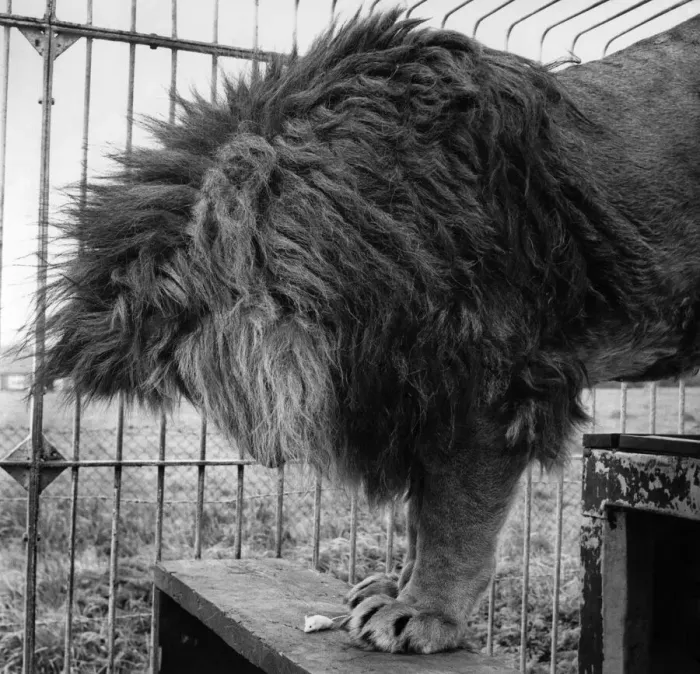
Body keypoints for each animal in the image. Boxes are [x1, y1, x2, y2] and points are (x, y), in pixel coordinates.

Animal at [38, 9, 700, 654]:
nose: (263, 452)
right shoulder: (419, 390)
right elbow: (421, 514)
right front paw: (394, 589)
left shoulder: (489, 378)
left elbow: (453, 518)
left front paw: (423, 613)